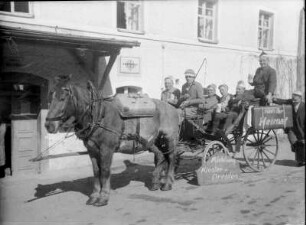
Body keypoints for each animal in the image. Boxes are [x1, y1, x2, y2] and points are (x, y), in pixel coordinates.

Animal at [45, 75, 179, 206]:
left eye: (63, 98)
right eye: (50, 96)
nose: (48, 125)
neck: (99, 116)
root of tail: (172, 108)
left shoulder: (106, 149)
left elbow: (105, 171)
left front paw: (103, 197)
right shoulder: (92, 150)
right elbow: (96, 171)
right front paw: (94, 196)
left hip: (169, 139)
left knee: (171, 158)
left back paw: (167, 183)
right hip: (153, 141)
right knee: (161, 157)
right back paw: (155, 183)